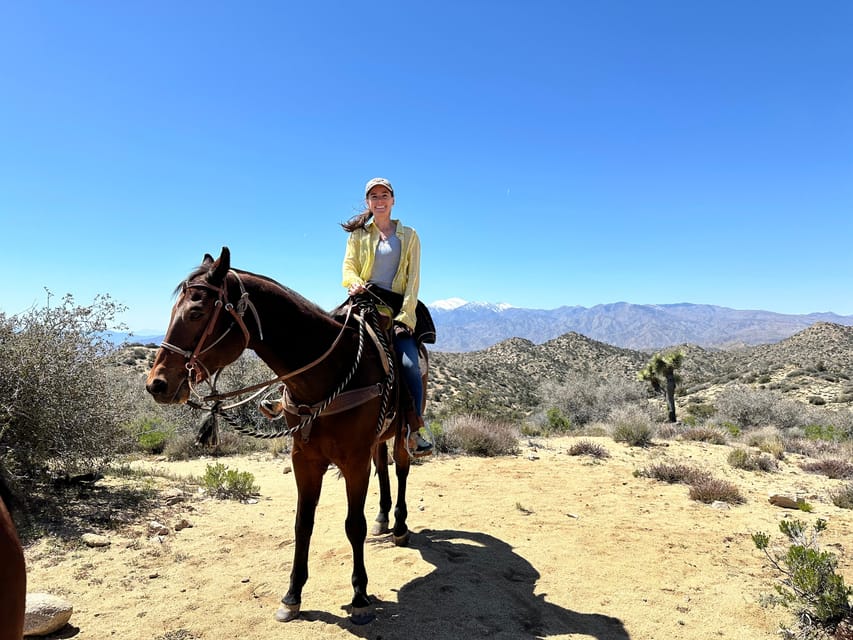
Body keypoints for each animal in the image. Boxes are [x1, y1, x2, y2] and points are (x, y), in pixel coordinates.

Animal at [146, 246, 420, 624]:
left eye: (196, 312)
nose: (157, 384)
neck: (328, 373)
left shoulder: (354, 461)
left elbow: (354, 525)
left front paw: (360, 596)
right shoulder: (304, 459)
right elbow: (302, 524)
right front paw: (292, 596)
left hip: (403, 430)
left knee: (403, 469)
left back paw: (401, 527)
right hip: (379, 437)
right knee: (383, 467)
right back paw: (383, 518)